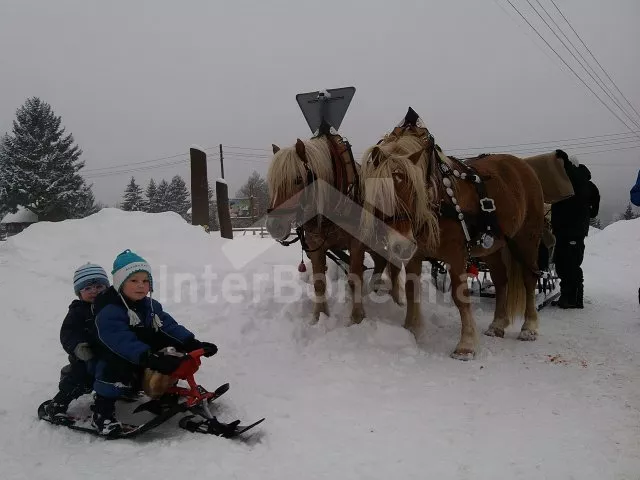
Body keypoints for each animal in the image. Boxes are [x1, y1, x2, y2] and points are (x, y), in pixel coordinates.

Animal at [264, 134, 400, 322]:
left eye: (298, 179)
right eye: (272, 182)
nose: (273, 226)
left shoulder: (357, 243)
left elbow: (355, 279)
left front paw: (357, 317)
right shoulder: (316, 246)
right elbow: (319, 283)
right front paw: (319, 316)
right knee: (380, 260)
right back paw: (372, 289)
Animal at [360, 111, 544, 360]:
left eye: (414, 193)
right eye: (380, 196)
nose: (401, 246)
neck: (438, 198)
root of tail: (523, 167)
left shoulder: (456, 254)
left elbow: (460, 295)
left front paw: (466, 345)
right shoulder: (415, 254)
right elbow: (411, 290)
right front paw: (412, 331)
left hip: (527, 238)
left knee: (529, 278)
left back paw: (529, 327)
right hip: (493, 246)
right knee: (501, 279)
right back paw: (497, 324)